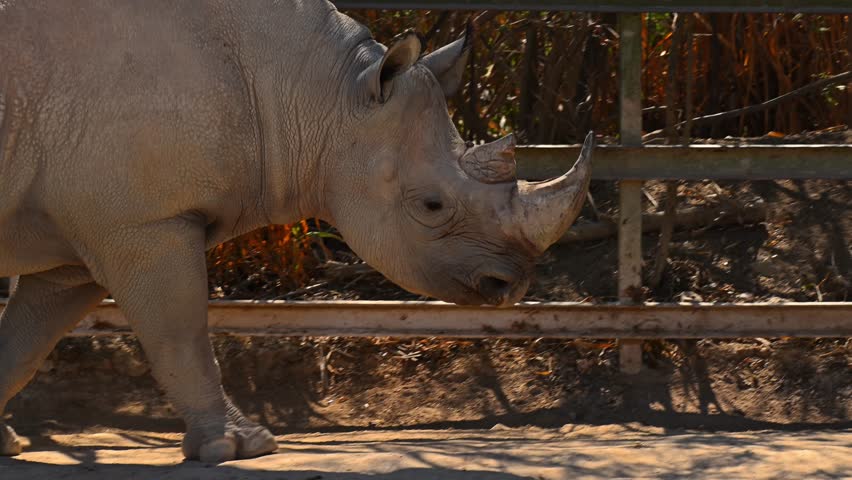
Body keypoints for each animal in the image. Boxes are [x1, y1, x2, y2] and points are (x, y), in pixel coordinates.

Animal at [0, 0, 593, 462]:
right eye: (431, 205)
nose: (511, 285)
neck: (320, 95)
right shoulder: (146, 220)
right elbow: (181, 330)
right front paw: (239, 447)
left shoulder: (83, 240)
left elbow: (25, 342)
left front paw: (4, 443)